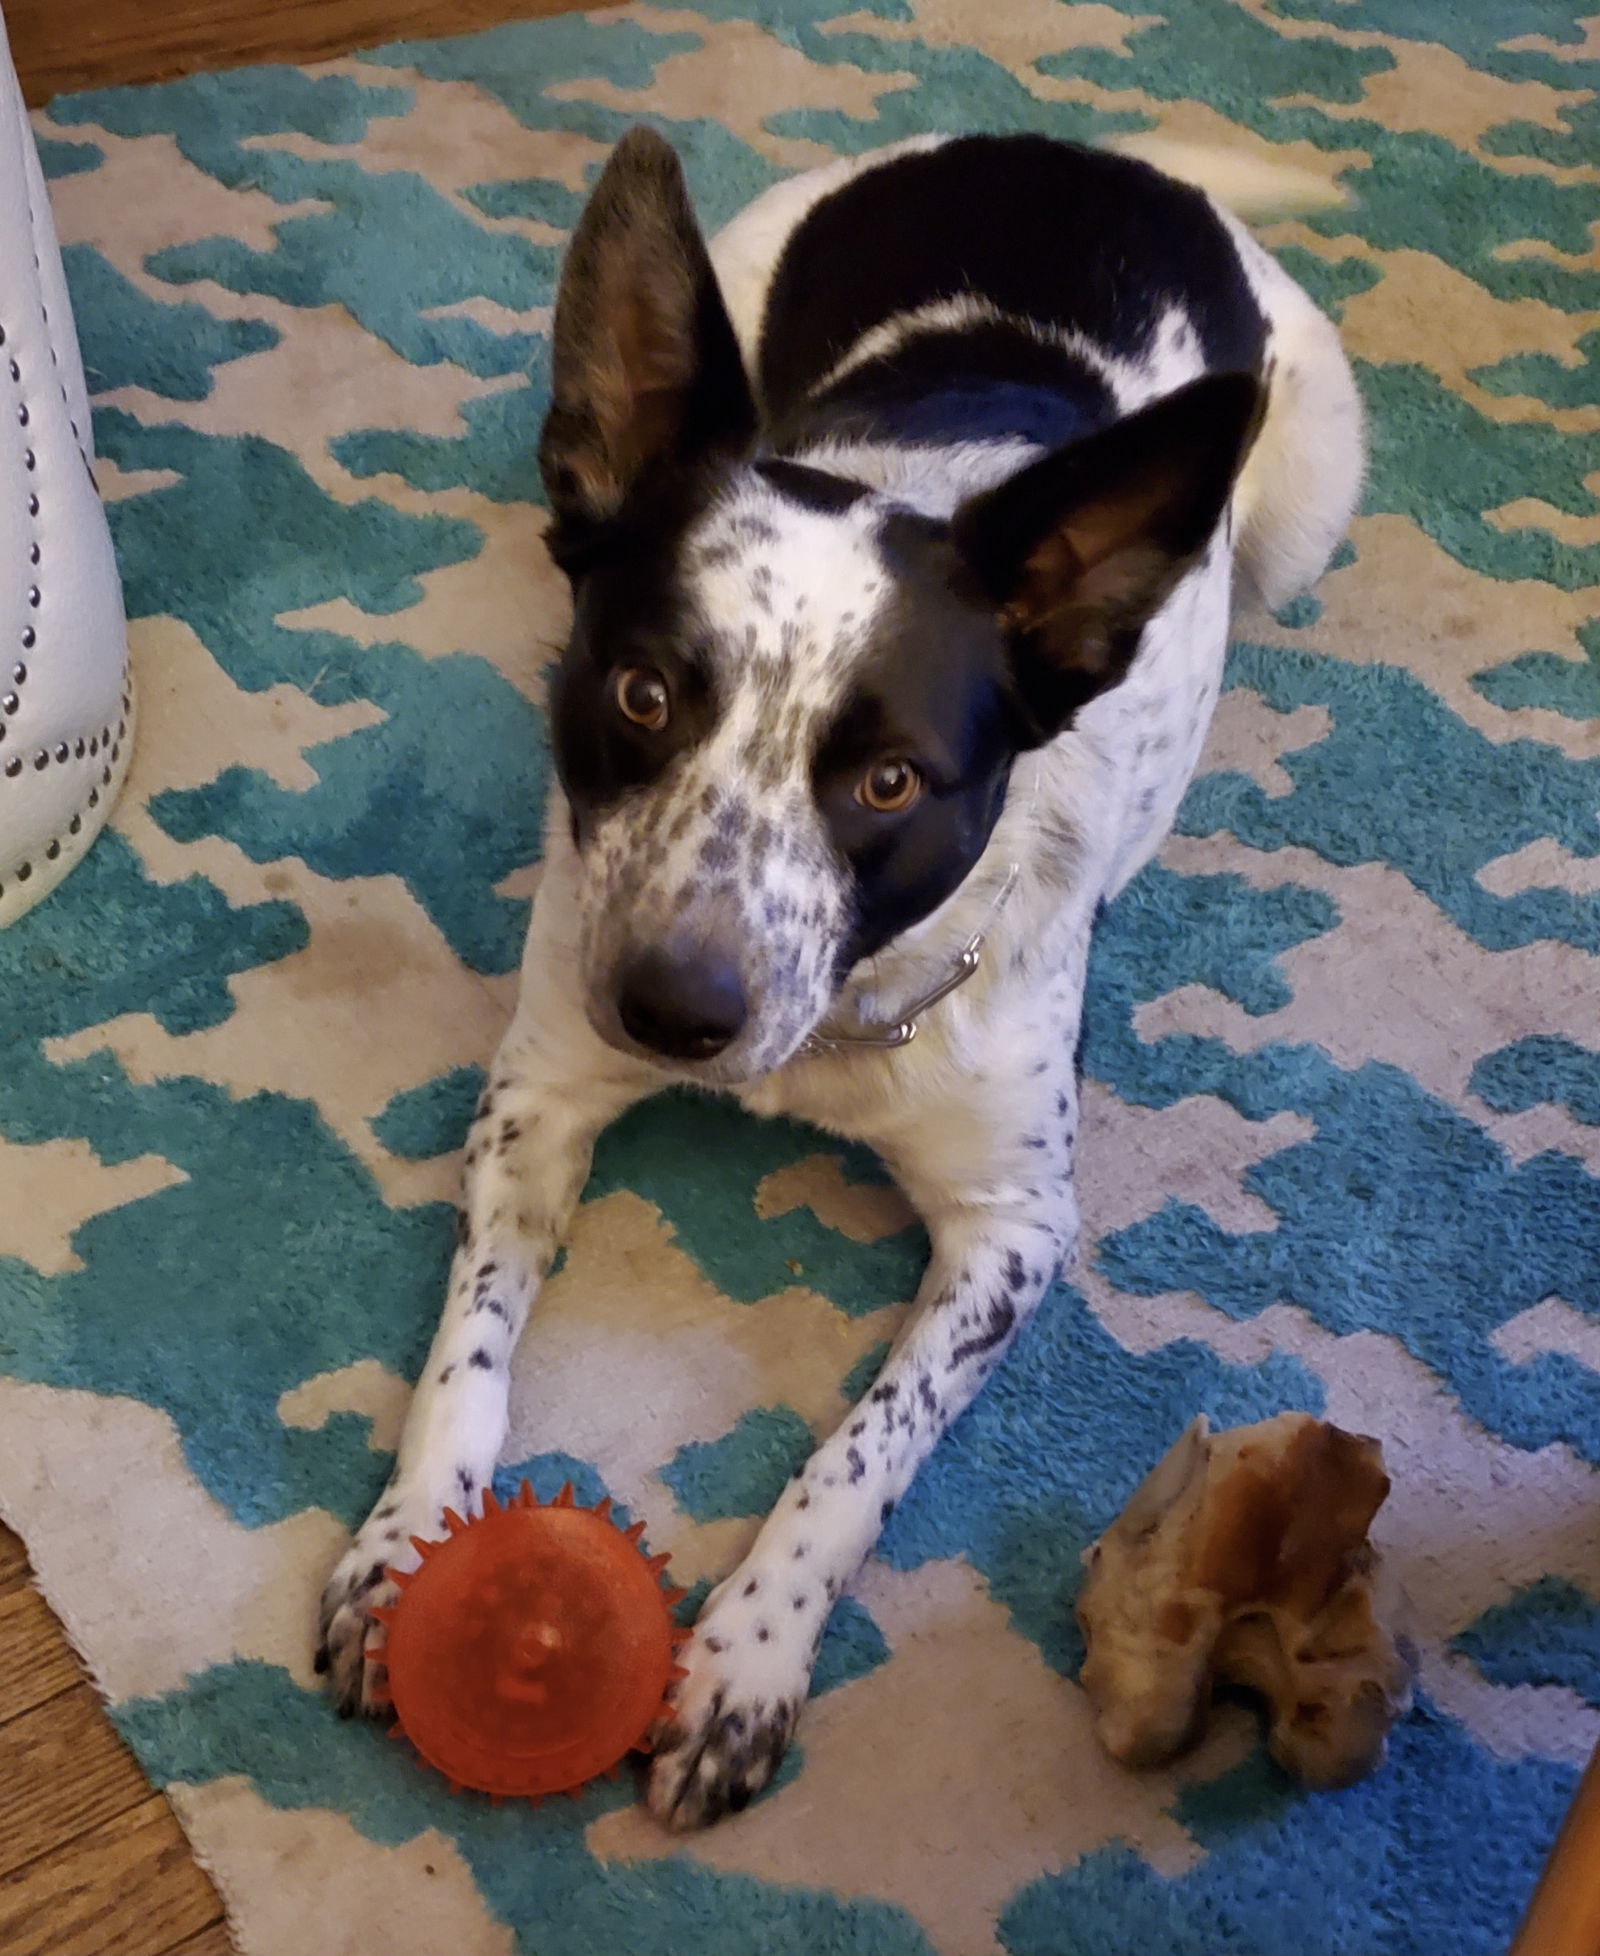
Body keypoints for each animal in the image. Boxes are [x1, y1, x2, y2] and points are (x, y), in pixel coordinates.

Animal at [314, 130, 1361, 1822]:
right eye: (641, 693)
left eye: (889, 782)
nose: (674, 1013)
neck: (832, 1031)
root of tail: (1082, 152)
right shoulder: (540, 1086)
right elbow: (467, 1342)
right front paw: (412, 1546)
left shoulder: (1014, 1229)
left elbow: (864, 1455)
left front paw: (748, 1656)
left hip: (1311, 492)